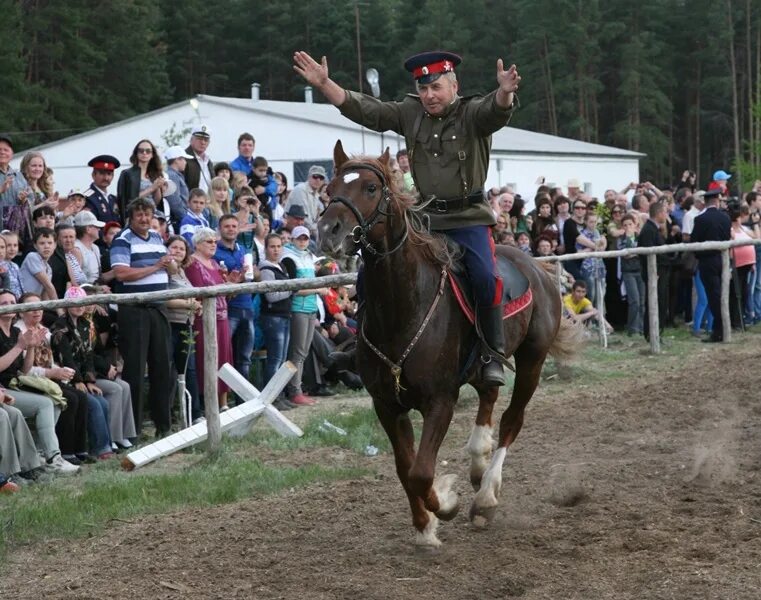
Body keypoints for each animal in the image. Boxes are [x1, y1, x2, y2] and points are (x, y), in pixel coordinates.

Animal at [318, 142, 580, 548]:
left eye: (371, 188)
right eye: (329, 188)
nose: (328, 231)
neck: (402, 308)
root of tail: (537, 267)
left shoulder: (440, 401)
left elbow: (422, 472)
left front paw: (444, 506)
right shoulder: (387, 405)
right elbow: (405, 468)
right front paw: (424, 526)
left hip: (532, 361)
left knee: (511, 420)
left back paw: (486, 496)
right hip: (481, 367)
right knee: (489, 395)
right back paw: (478, 460)